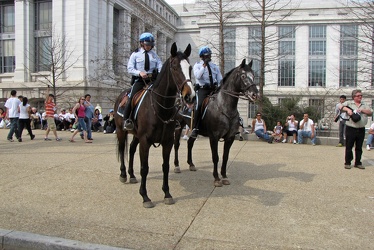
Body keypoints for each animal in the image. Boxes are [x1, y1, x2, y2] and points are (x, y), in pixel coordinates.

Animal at [113, 43, 196, 209]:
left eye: (190, 67)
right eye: (175, 67)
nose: (190, 96)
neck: (160, 108)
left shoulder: (167, 141)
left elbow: (166, 166)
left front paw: (167, 194)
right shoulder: (145, 141)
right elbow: (145, 168)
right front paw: (145, 196)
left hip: (136, 136)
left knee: (131, 149)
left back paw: (132, 175)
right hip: (121, 131)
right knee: (122, 149)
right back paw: (124, 174)